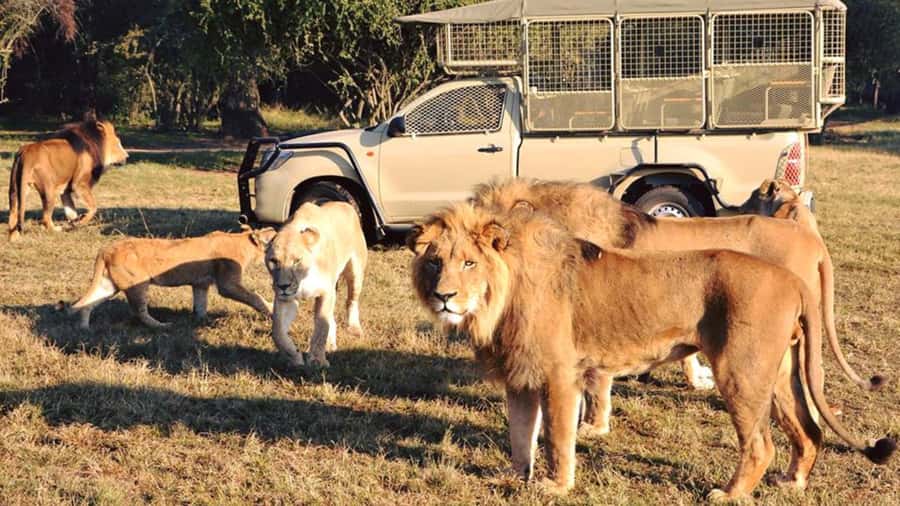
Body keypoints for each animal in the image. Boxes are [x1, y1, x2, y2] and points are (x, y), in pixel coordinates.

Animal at [61, 227, 276, 329]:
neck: (243, 240)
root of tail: (106, 249)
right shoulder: (228, 284)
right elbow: (255, 297)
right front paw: (271, 310)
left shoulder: (200, 284)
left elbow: (200, 304)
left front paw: (201, 321)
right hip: (138, 284)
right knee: (139, 311)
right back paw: (162, 326)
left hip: (109, 285)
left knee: (87, 303)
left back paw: (84, 328)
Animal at [265, 201, 367, 367]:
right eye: (274, 261)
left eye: (297, 260)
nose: (283, 286)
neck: (303, 278)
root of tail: (345, 204)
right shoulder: (285, 299)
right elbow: (278, 331)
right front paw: (294, 357)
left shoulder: (325, 292)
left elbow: (321, 326)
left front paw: (318, 360)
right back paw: (330, 344)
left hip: (356, 273)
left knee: (351, 301)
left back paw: (354, 328)